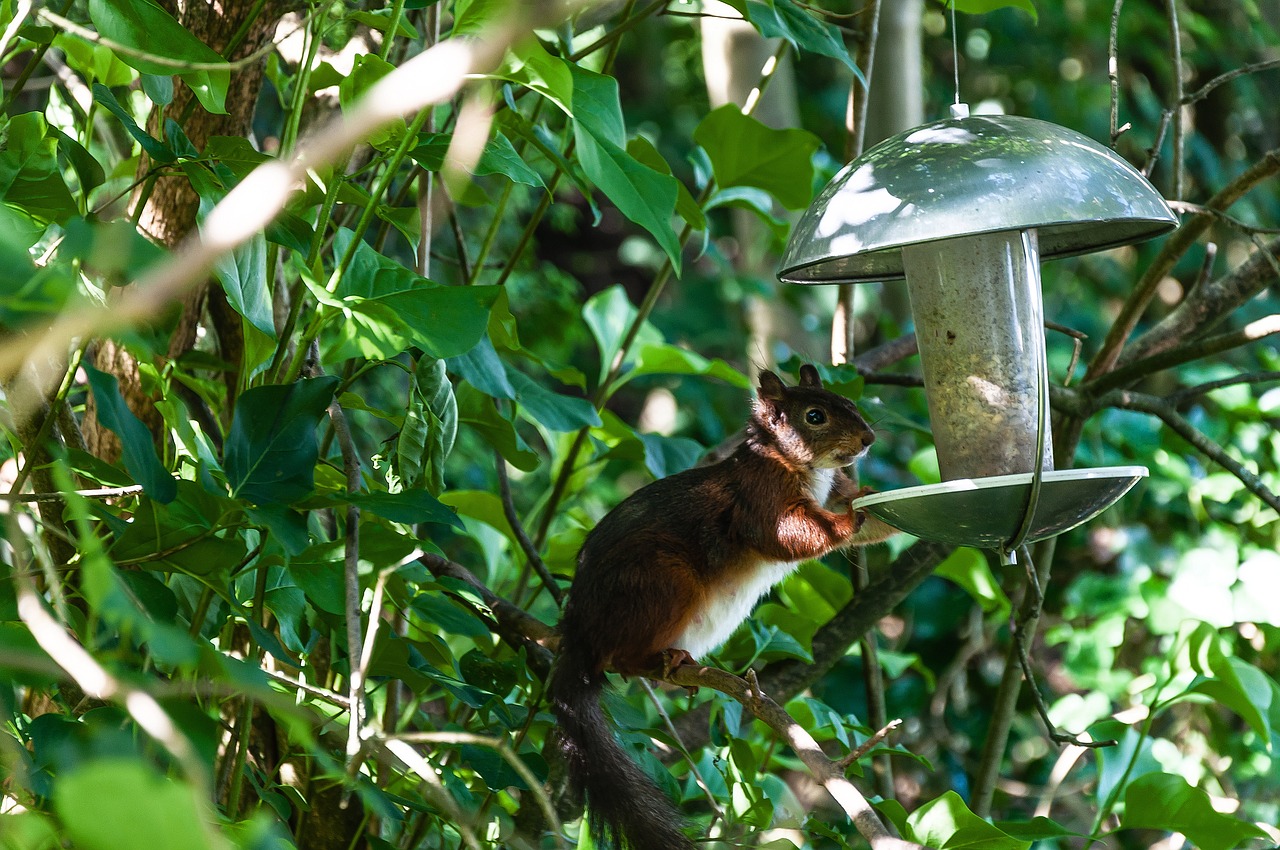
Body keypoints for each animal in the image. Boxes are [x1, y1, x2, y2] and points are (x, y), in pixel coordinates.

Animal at [550, 366, 901, 850]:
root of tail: (579, 634)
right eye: (815, 416)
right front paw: (849, 521)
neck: (803, 467)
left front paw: (887, 503)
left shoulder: (833, 490)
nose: (868, 438)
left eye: (846, 401)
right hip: (659, 578)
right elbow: (786, 535)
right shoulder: (761, 499)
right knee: (619, 657)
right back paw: (663, 659)